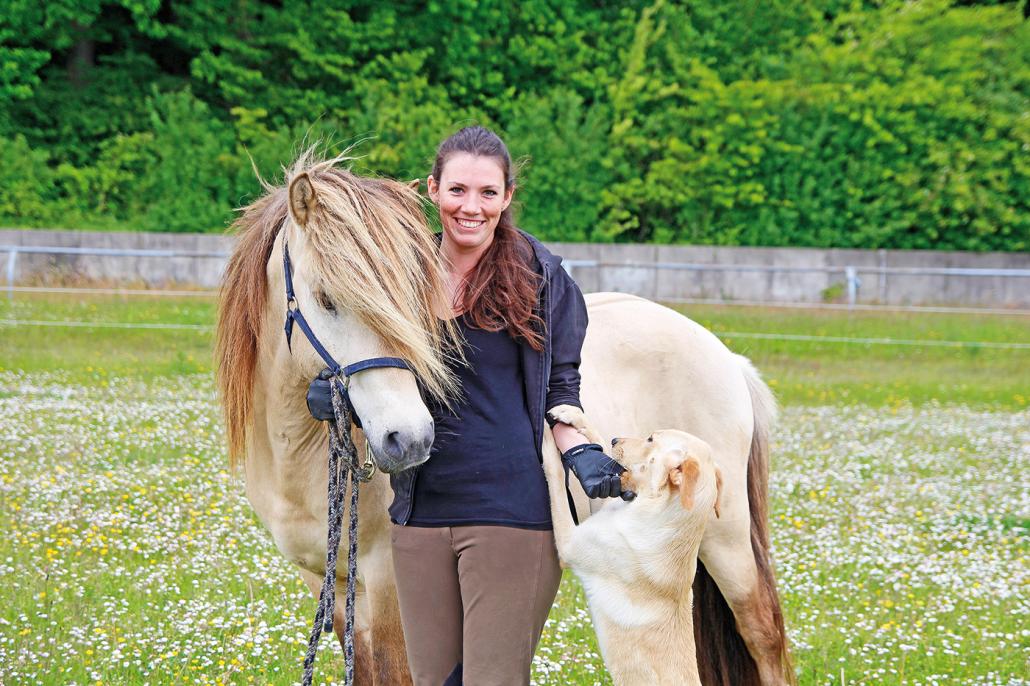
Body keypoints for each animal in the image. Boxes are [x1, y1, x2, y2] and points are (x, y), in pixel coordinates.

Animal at [539, 403, 725, 679]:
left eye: (650, 439)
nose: (616, 439)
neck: (658, 512)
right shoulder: (608, 497)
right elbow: (599, 445)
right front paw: (571, 415)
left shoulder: (569, 542)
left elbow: (557, 481)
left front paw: (548, 442)